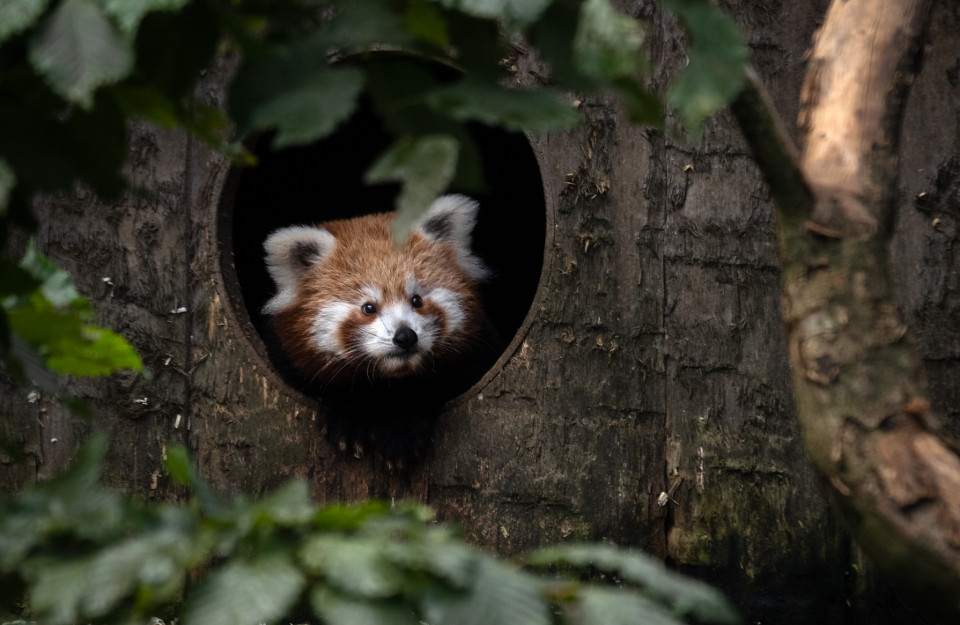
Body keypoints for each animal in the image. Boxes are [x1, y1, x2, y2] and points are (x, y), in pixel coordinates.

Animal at [262, 195, 502, 464]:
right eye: (369, 308)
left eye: (416, 300)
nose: (405, 337)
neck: (388, 380)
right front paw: (348, 417)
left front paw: (400, 431)